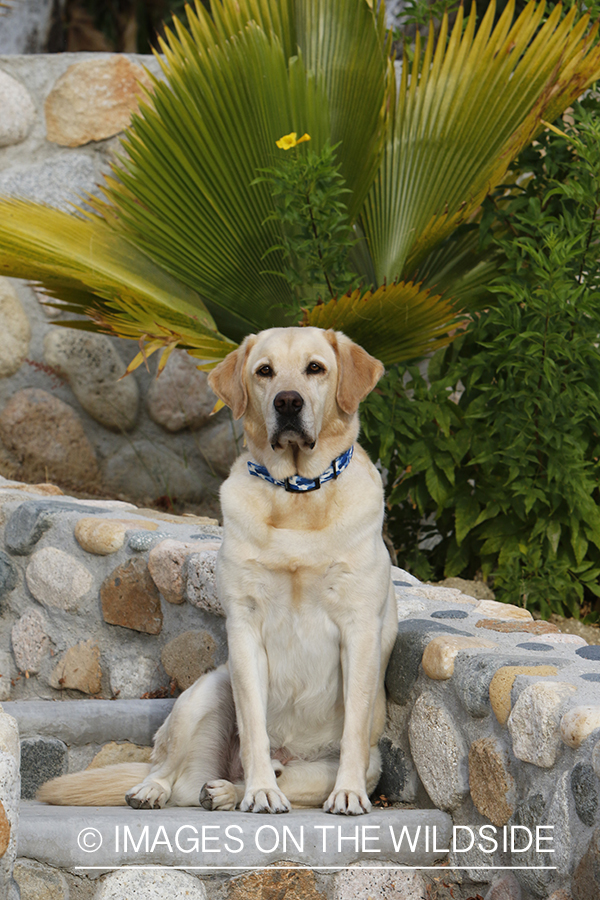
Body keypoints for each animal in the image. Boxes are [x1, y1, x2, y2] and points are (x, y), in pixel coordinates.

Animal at [41, 328, 398, 816]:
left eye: (315, 368)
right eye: (264, 371)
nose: (288, 402)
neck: (296, 497)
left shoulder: (358, 628)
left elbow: (353, 730)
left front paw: (346, 794)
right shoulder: (244, 626)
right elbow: (253, 726)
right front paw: (260, 791)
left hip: (359, 764)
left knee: (275, 776)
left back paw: (228, 791)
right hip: (205, 692)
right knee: (168, 768)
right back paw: (162, 790)